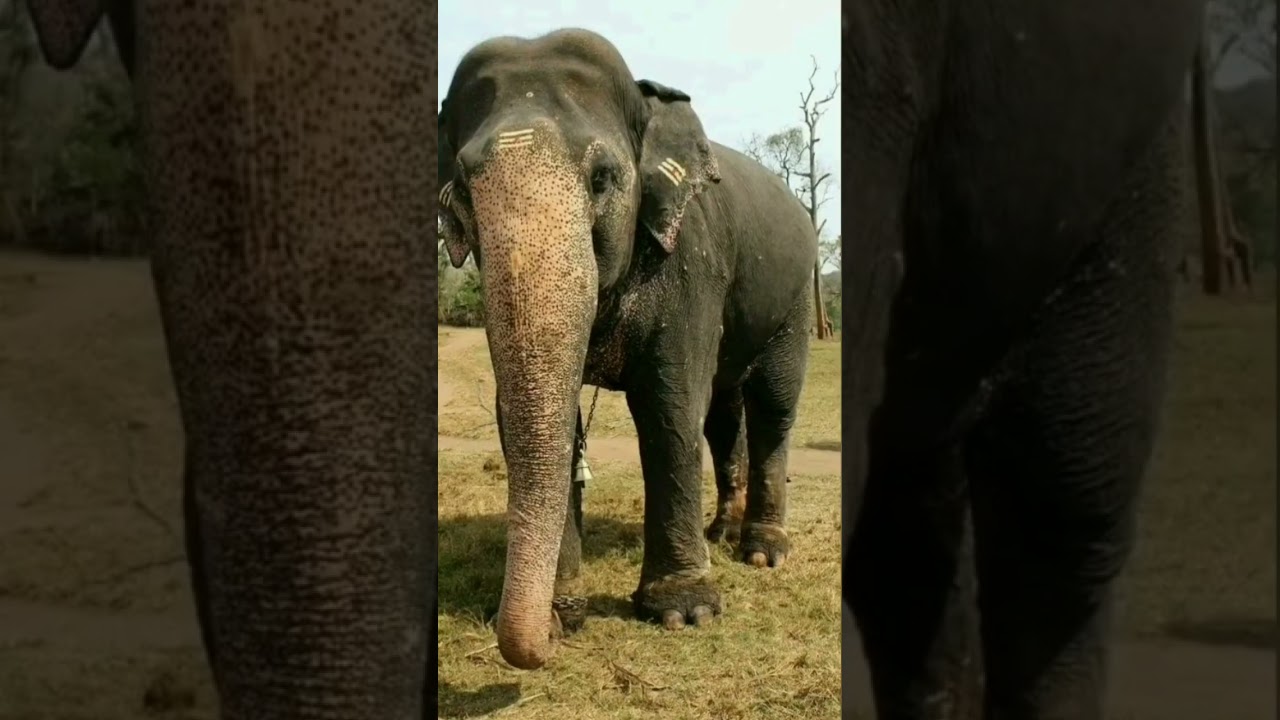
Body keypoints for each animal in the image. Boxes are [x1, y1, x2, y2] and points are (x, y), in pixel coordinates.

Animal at [438, 28, 819, 670]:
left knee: (771, 404)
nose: (542, 639)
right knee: (724, 415)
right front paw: (562, 615)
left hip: (793, 297)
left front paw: (683, 611)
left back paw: (761, 552)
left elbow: (670, 410)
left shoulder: (691, 261)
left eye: (601, 179)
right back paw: (722, 533)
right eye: (464, 189)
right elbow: (531, 418)